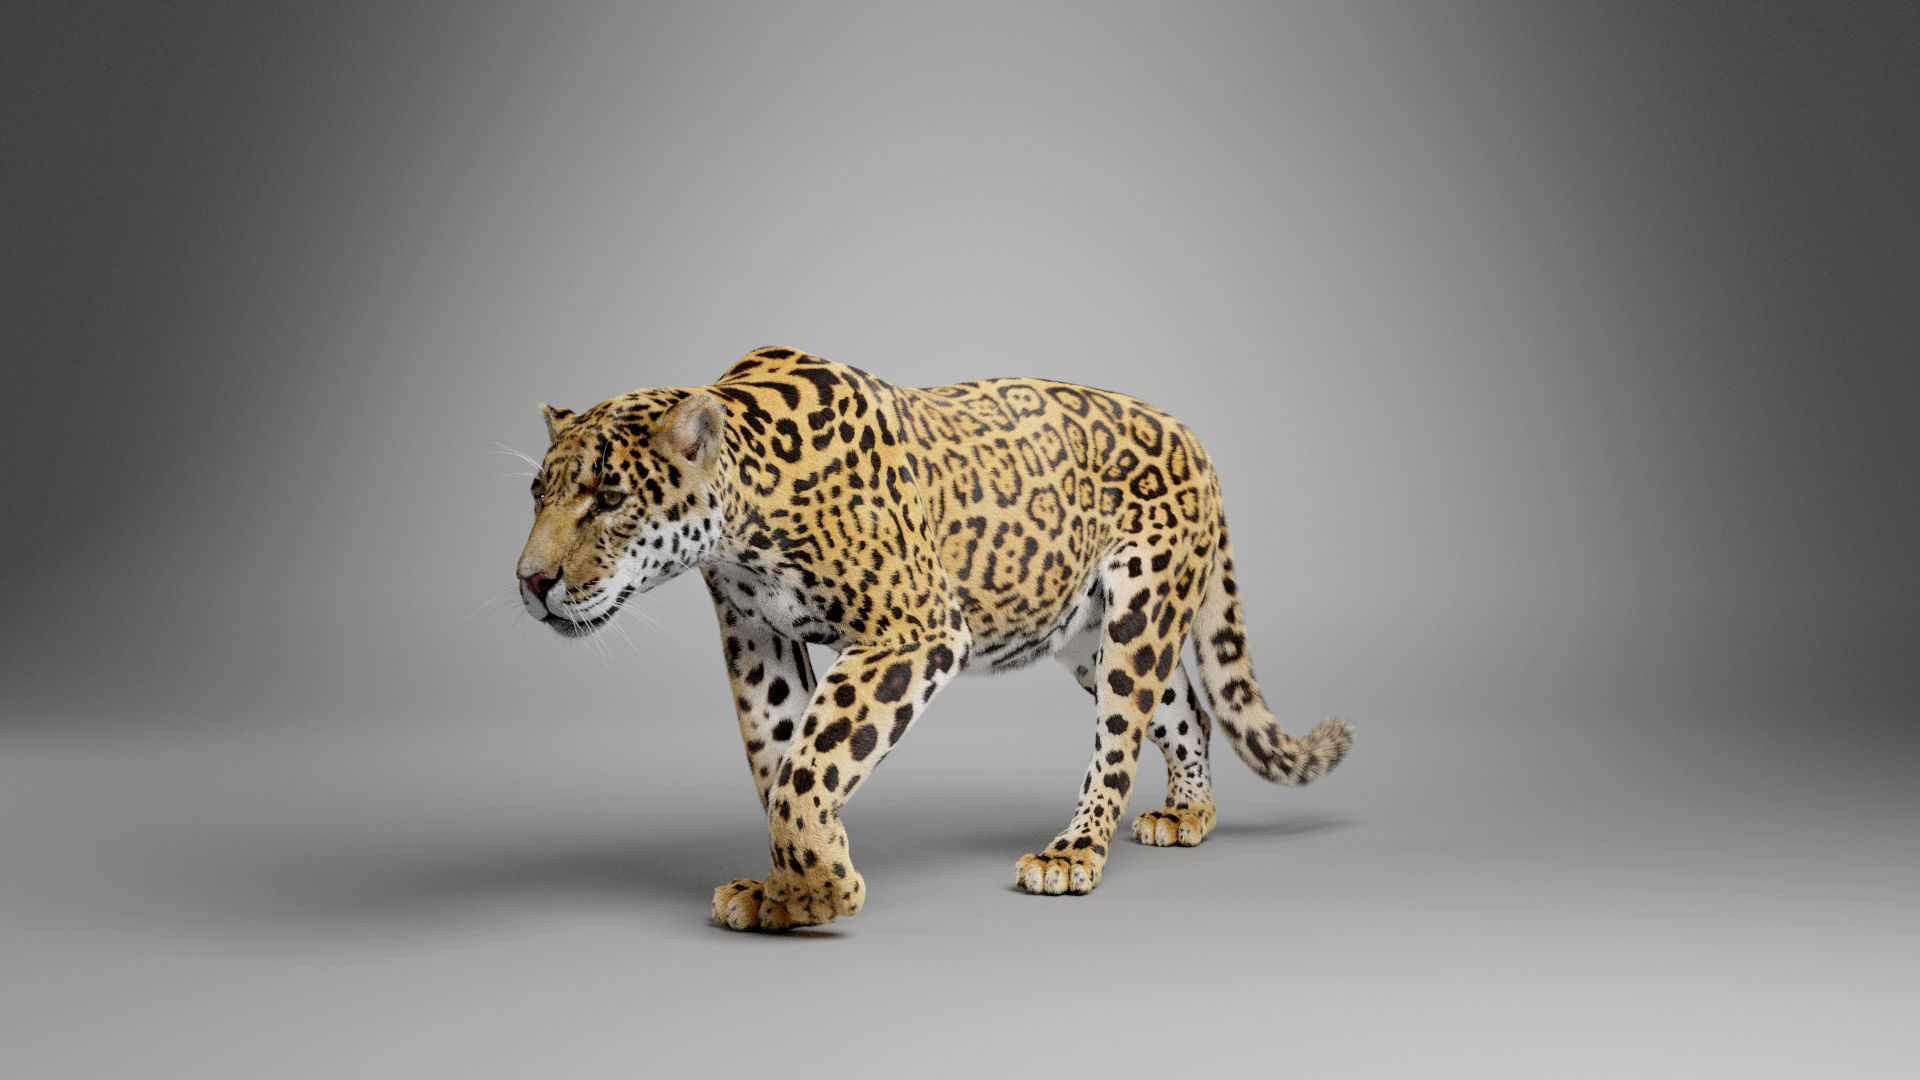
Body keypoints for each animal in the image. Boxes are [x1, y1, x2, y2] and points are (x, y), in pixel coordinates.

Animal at [514, 348, 1353, 930]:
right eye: (536, 494)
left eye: (609, 497)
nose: (529, 581)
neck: (740, 520)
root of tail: (1189, 433)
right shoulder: (756, 640)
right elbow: (779, 762)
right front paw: (789, 890)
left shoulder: (913, 628)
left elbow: (808, 767)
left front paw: (820, 890)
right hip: (1085, 631)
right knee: (1188, 712)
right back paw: (1186, 814)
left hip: (1140, 612)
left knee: (1120, 739)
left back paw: (1072, 855)